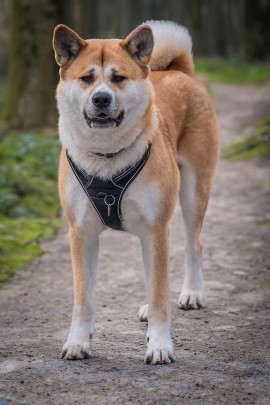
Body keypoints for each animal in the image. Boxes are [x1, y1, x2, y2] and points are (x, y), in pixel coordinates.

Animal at [52, 20, 219, 364]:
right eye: (87, 78)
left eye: (119, 78)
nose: (101, 99)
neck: (107, 157)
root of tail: (179, 70)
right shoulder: (81, 233)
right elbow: (83, 298)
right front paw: (78, 341)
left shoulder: (156, 228)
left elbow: (159, 295)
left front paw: (160, 345)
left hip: (193, 193)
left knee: (193, 244)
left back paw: (192, 292)